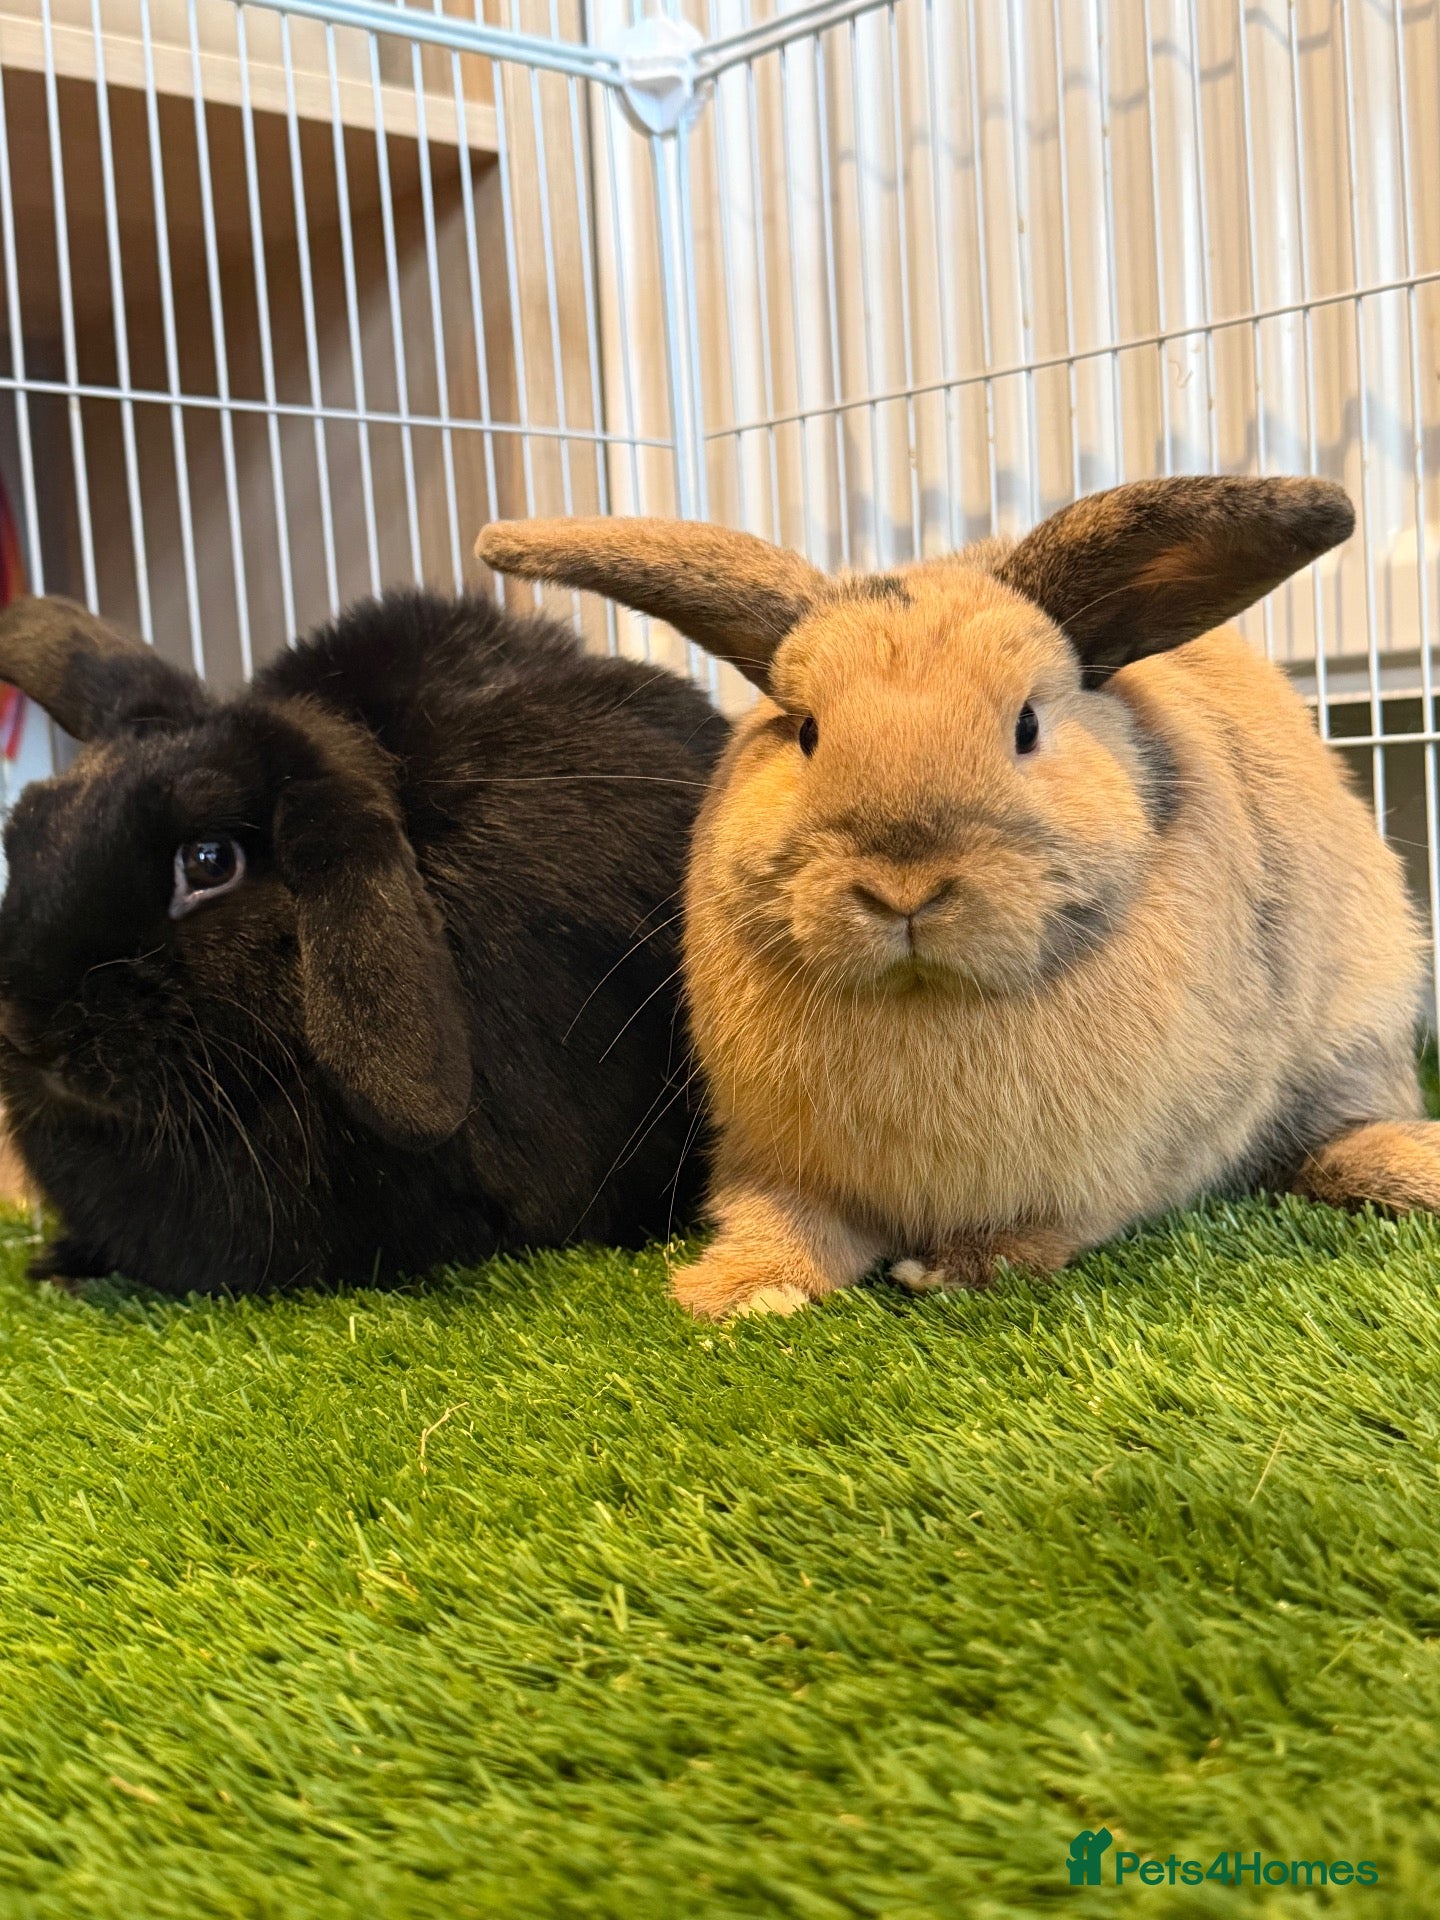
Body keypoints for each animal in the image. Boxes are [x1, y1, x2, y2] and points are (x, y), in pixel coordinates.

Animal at [477, 476, 1440, 1319]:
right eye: (806, 731)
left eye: (1028, 725)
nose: (902, 887)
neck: (924, 1001)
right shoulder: (774, 1156)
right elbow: (783, 1220)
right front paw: (739, 1293)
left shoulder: (1120, 1162)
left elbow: (1053, 1224)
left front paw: (955, 1270)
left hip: (1355, 1029)